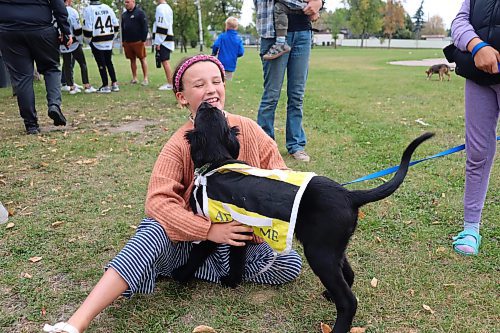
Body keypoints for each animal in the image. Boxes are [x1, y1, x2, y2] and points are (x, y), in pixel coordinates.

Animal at [172, 102, 434, 332]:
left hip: (319, 254)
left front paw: (181, 275)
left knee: (349, 300)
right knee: (349, 274)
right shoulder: (240, 228)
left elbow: (198, 252)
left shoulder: (216, 227)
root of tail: (350, 195)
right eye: (211, 112)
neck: (217, 161)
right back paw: (329, 295)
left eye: (202, 113)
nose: (206, 103)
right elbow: (237, 258)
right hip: (332, 249)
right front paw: (232, 281)